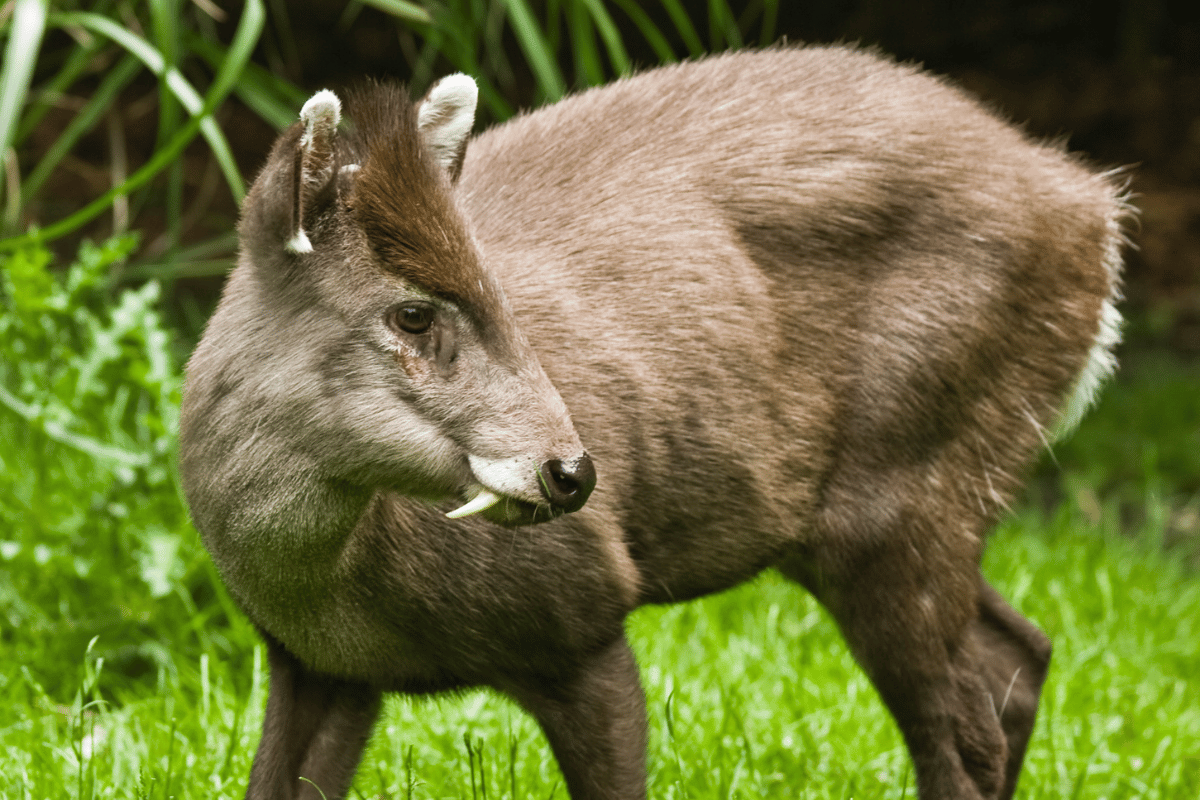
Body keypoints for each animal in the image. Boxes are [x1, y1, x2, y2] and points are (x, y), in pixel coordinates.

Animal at [177, 45, 1123, 800]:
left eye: (498, 292)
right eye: (412, 313)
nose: (573, 472)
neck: (341, 592)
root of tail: (1093, 209)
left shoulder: (583, 617)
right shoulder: (317, 666)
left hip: (906, 483)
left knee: (966, 731)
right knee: (1019, 655)